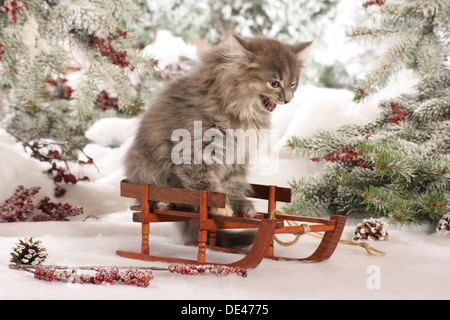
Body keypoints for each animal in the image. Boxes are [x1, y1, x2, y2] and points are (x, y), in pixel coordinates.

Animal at [125, 35, 312, 218]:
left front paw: (239, 205)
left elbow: (233, 183)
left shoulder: (238, 154)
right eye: (274, 83)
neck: (240, 110)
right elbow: (208, 187)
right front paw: (220, 209)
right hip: (146, 172)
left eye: (293, 84)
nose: (288, 99)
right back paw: (164, 202)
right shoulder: (195, 151)